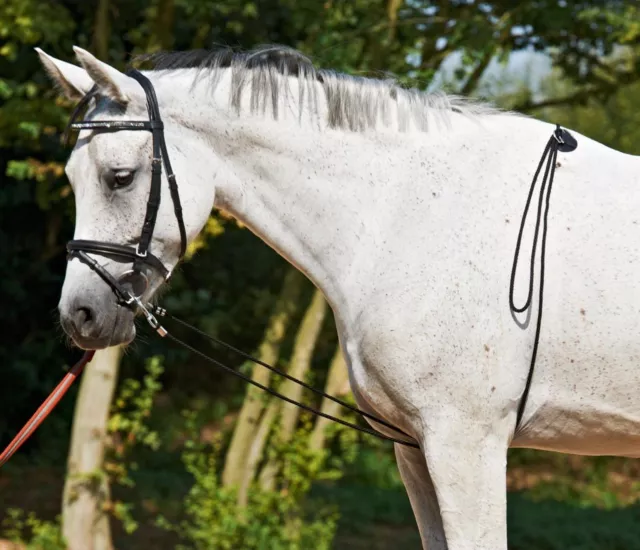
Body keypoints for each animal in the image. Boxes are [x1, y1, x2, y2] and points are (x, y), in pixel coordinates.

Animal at [36, 45, 640, 548]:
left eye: (120, 177)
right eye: (71, 176)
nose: (80, 315)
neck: (408, 211)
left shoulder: (467, 446)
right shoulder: (415, 447)